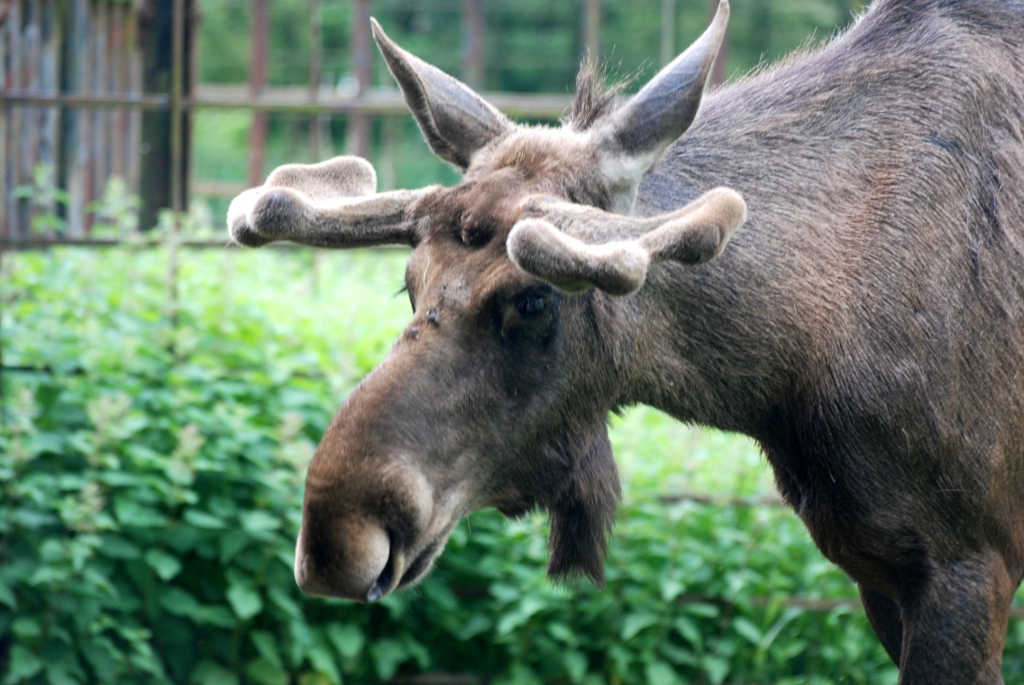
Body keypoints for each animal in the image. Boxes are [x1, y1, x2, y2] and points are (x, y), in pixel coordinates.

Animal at [226, 0, 1024, 681]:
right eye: (409, 282)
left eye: (534, 299)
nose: (335, 535)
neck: (789, 367)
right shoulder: (880, 568)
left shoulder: (966, 561)